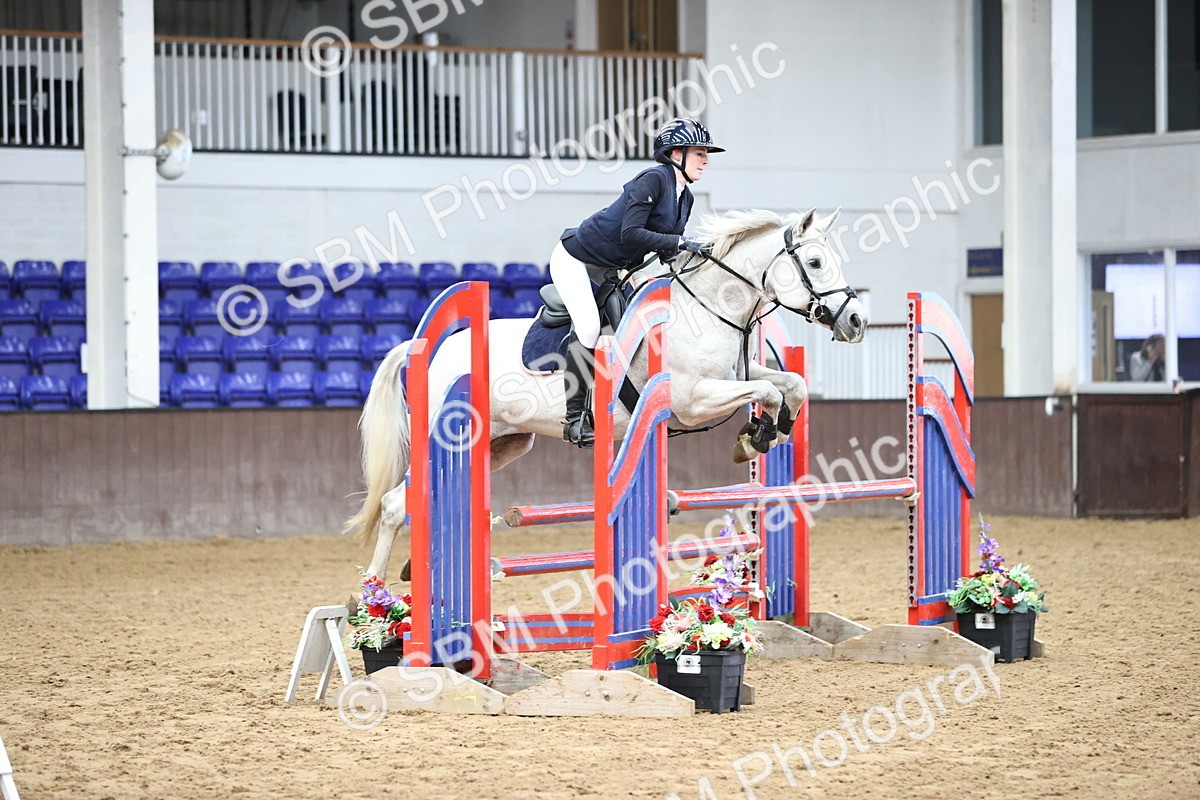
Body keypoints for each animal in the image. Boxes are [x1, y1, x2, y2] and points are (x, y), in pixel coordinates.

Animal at [344, 208, 868, 580]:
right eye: (815, 262)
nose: (856, 321)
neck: (708, 308)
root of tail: (426, 349)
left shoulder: (733, 374)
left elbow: (790, 384)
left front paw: (768, 432)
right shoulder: (691, 399)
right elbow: (766, 391)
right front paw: (755, 437)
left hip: (501, 444)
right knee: (395, 505)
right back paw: (372, 596)